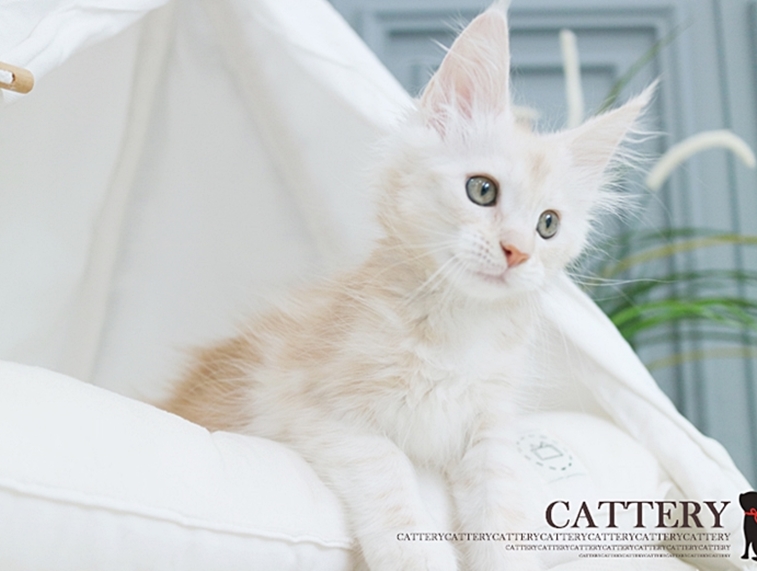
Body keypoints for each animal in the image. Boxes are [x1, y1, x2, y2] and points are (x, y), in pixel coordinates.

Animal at [164, 4, 651, 570]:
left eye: (547, 225)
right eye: (482, 190)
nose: (517, 251)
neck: (457, 329)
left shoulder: (489, 433)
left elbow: (501, 513)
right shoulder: (318, 409)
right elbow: (391, 477)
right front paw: (416, 557)